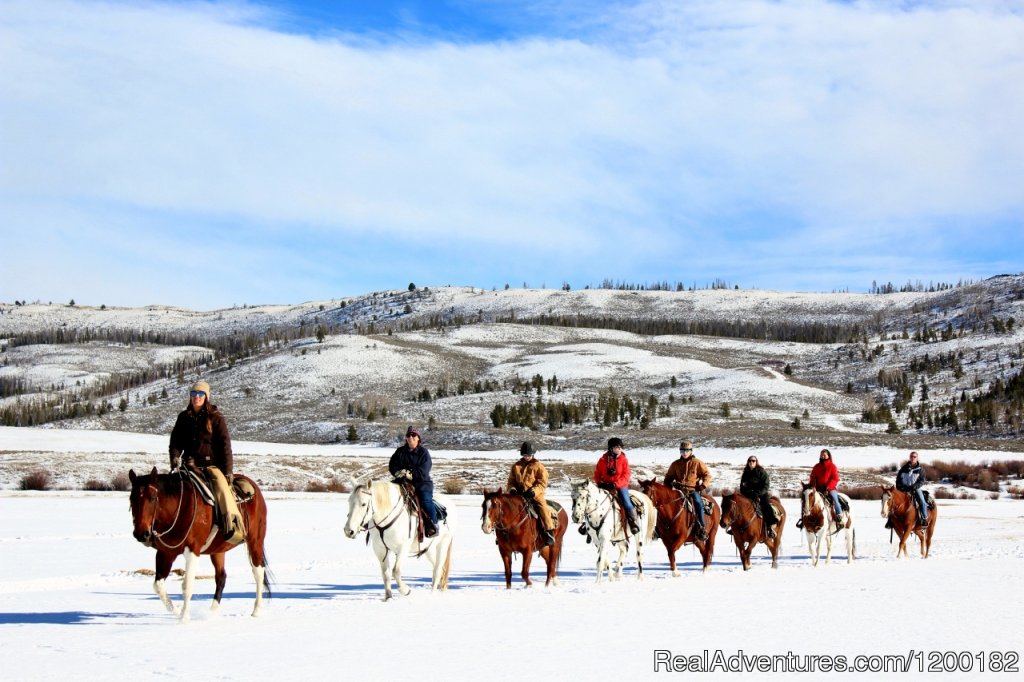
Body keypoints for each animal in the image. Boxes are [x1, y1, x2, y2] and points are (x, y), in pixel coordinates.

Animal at [128, 464, 270, 618]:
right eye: (131, 498)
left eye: (153, 497)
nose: (141, 534)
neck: (180, 508)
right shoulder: (165, 553)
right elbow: (158, 586)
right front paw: (177, 611)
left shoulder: (192, 550)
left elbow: (187, 585)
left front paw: (184, 618)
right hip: (217, 551)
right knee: (221, 577)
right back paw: (212, 611)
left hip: (255, 542)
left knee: (258, 572)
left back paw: (256, 610)